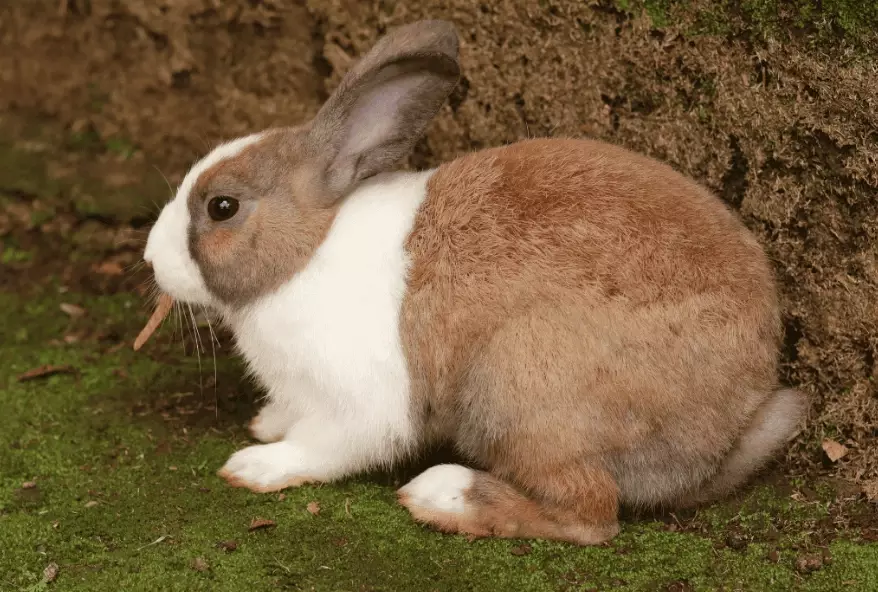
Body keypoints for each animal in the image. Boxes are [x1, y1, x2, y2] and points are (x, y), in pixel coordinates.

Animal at [142, 19, 807, 545]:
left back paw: (444, 496)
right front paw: (267, 422)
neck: (309, 250)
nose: (150, 259)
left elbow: (325, 446)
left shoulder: (363, 405)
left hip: (523, 387)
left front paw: (255, 464)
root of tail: (734, 422)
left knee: (590, 514)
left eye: (222, 207)